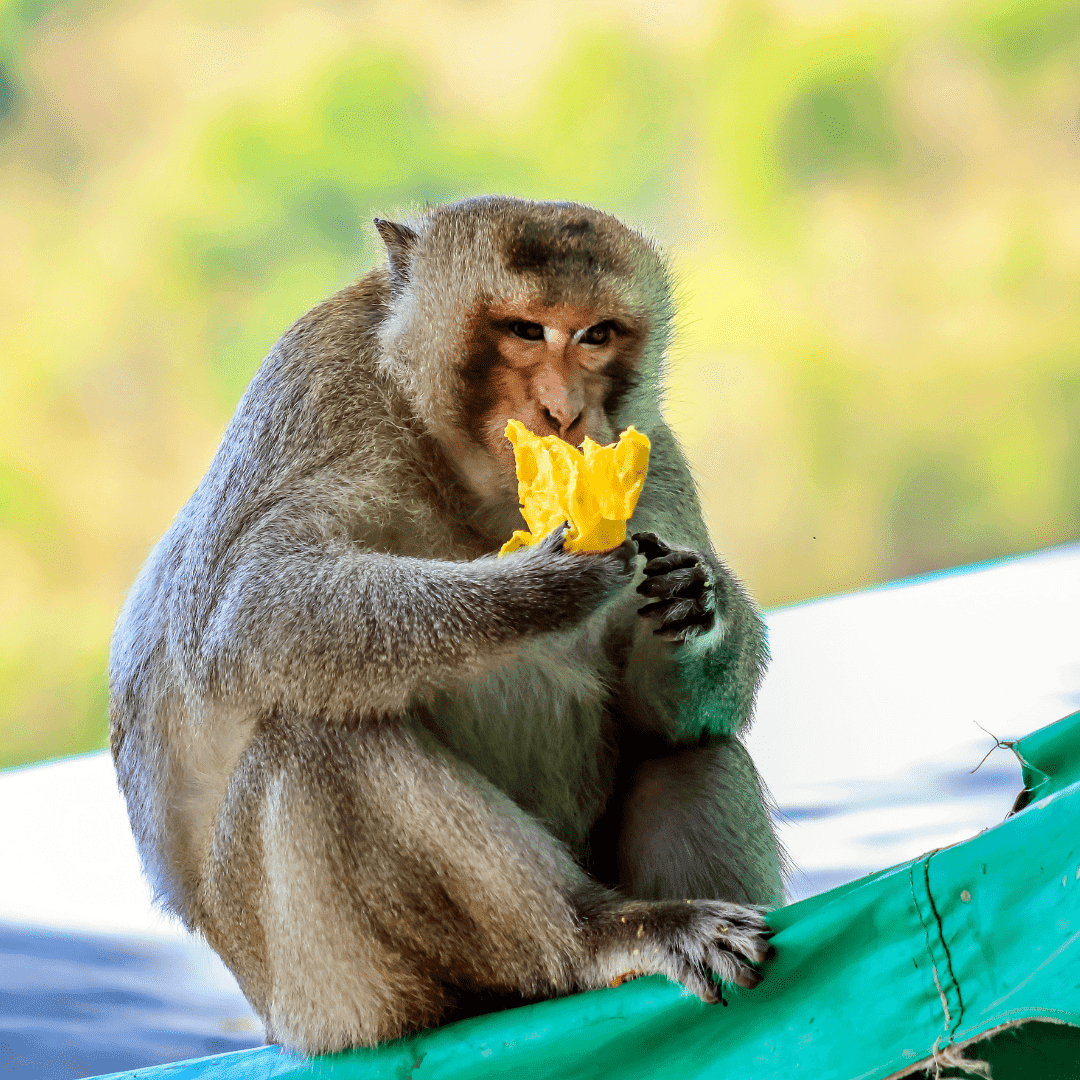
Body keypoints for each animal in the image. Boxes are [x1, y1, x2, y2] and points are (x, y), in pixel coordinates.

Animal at [109, 196, 784, 1056]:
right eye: (526, 330)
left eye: (597, 334)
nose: (566, 412)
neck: (453, 459)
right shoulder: (321, 399)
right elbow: (252, 608)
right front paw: (538, 587)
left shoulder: (652, 458)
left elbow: (661, 712)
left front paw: (699, 602)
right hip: (329, 993)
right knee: (321, 742)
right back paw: (600, 935)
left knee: (689, 744)